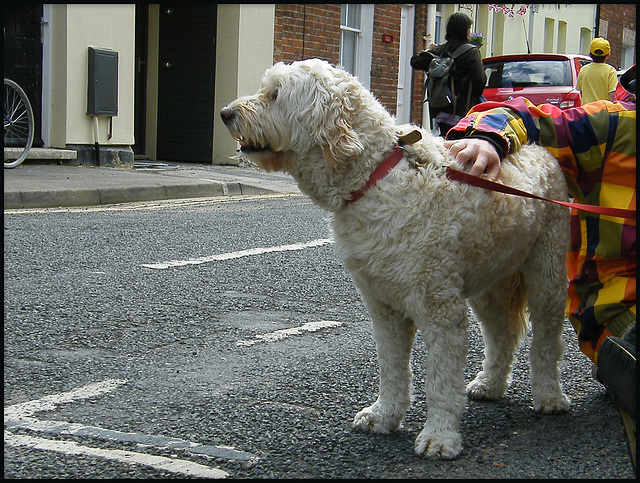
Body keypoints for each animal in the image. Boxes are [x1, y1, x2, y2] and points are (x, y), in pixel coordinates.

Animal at [221, 58, 568, 460]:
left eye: (275, 94)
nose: (225, 113)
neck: (375, 174)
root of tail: (542, 150)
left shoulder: (440, 309)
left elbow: (441, 378)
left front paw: (440, 436)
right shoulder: (383, 305)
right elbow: (391, 367)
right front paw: (384, 415)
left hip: (547, 273)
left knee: (546, 341)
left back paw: (549, 395)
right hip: (490, 281)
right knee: (503, 334)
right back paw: (491, 384)